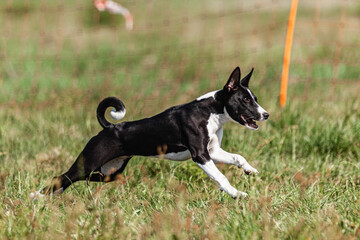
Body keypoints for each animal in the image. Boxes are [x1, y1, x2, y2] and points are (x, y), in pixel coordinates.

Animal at [35, 67, 268, 199]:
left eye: (255, 98)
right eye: (245, 100)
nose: (266, 115)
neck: (209, 112)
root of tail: (109, 128)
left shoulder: (213, 152)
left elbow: (238, 157)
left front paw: (249, 170)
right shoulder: (201, 156)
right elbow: (222, 178)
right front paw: (236, 194)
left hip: (109, 173)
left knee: (72, 181)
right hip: (88, 164)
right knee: (60, 178)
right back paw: (36, 198)